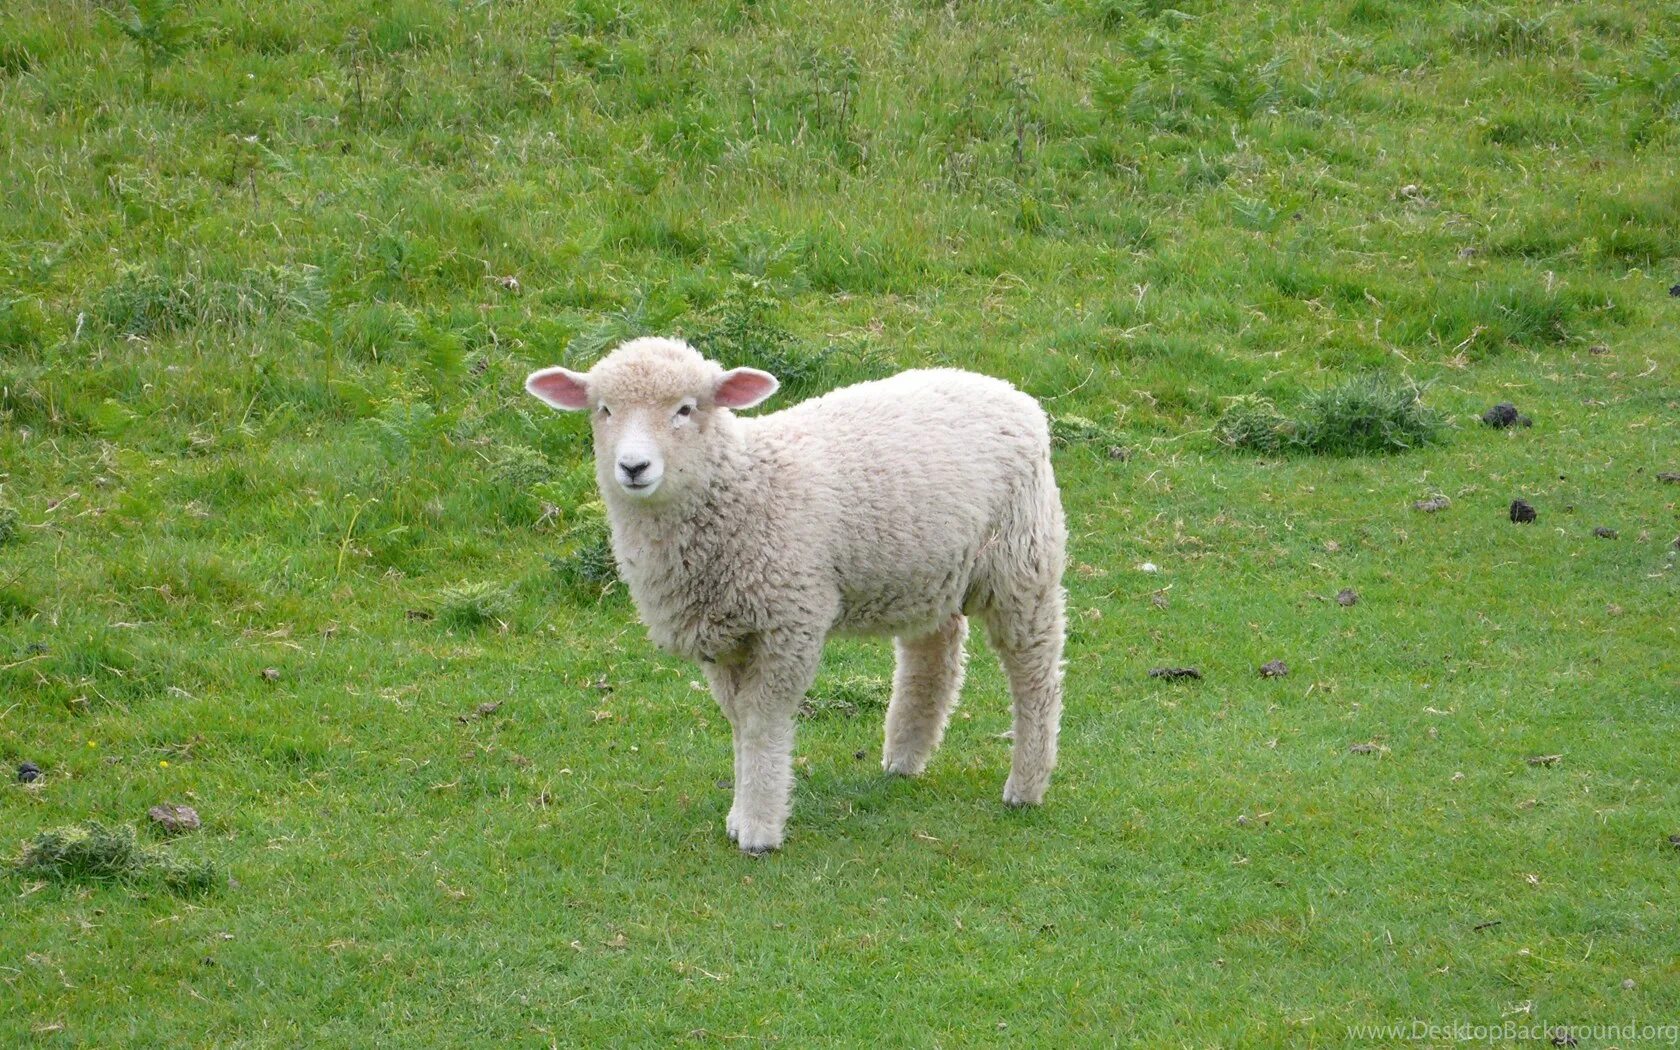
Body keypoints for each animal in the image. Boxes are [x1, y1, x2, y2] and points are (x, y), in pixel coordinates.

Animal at [527, 337, 1066, 854]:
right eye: (604, 410)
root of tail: (1005, 390)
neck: (745, 486)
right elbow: (739, 722)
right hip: (927, 568)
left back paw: (1026, 785)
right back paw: (905, 758)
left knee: (1035, 673)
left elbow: (762, 722)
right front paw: (739, 814)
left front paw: (759, 829)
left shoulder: (789, 621)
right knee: (934, 654)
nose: (634, 466)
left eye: (685, 409)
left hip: (1022, 560)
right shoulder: (722, 638)